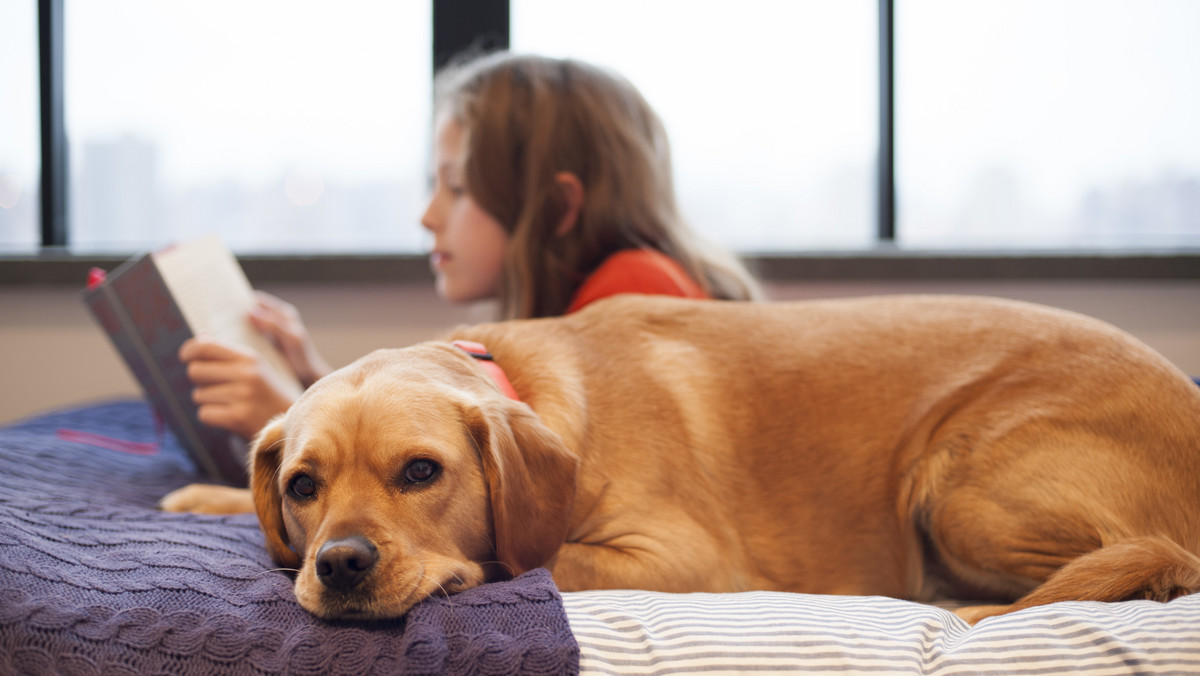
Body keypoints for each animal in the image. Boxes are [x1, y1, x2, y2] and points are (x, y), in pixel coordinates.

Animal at [159, 296, 1200, 624]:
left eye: (422, 472)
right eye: (303, 487)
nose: (338, 565)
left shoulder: (685, 559)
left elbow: (533, 559)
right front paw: (206, 493)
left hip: (955, 487)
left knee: (1149, 563)